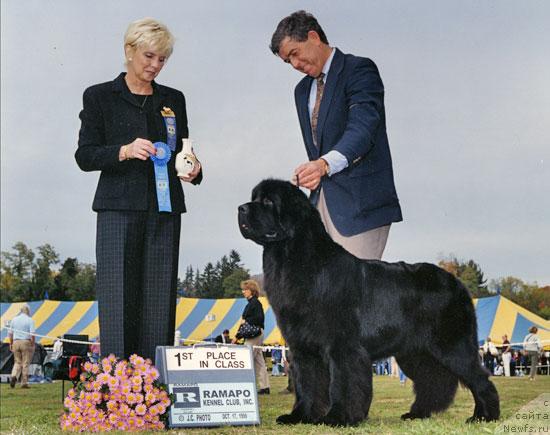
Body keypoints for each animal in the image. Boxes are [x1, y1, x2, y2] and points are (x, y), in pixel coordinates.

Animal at [237, 180, 500, 426]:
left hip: (452, 345)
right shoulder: (303, 347)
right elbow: (307, 384)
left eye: (268, 201)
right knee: (431, 379)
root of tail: (457, 283)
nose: (241, 208)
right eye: (254, 198)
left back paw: (484, 416)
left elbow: (342, 384)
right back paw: (417, 413)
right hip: (415, 352)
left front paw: (338, 417)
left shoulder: (343, 346)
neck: (293, 257)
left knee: (479, 378)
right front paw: (300, 416)